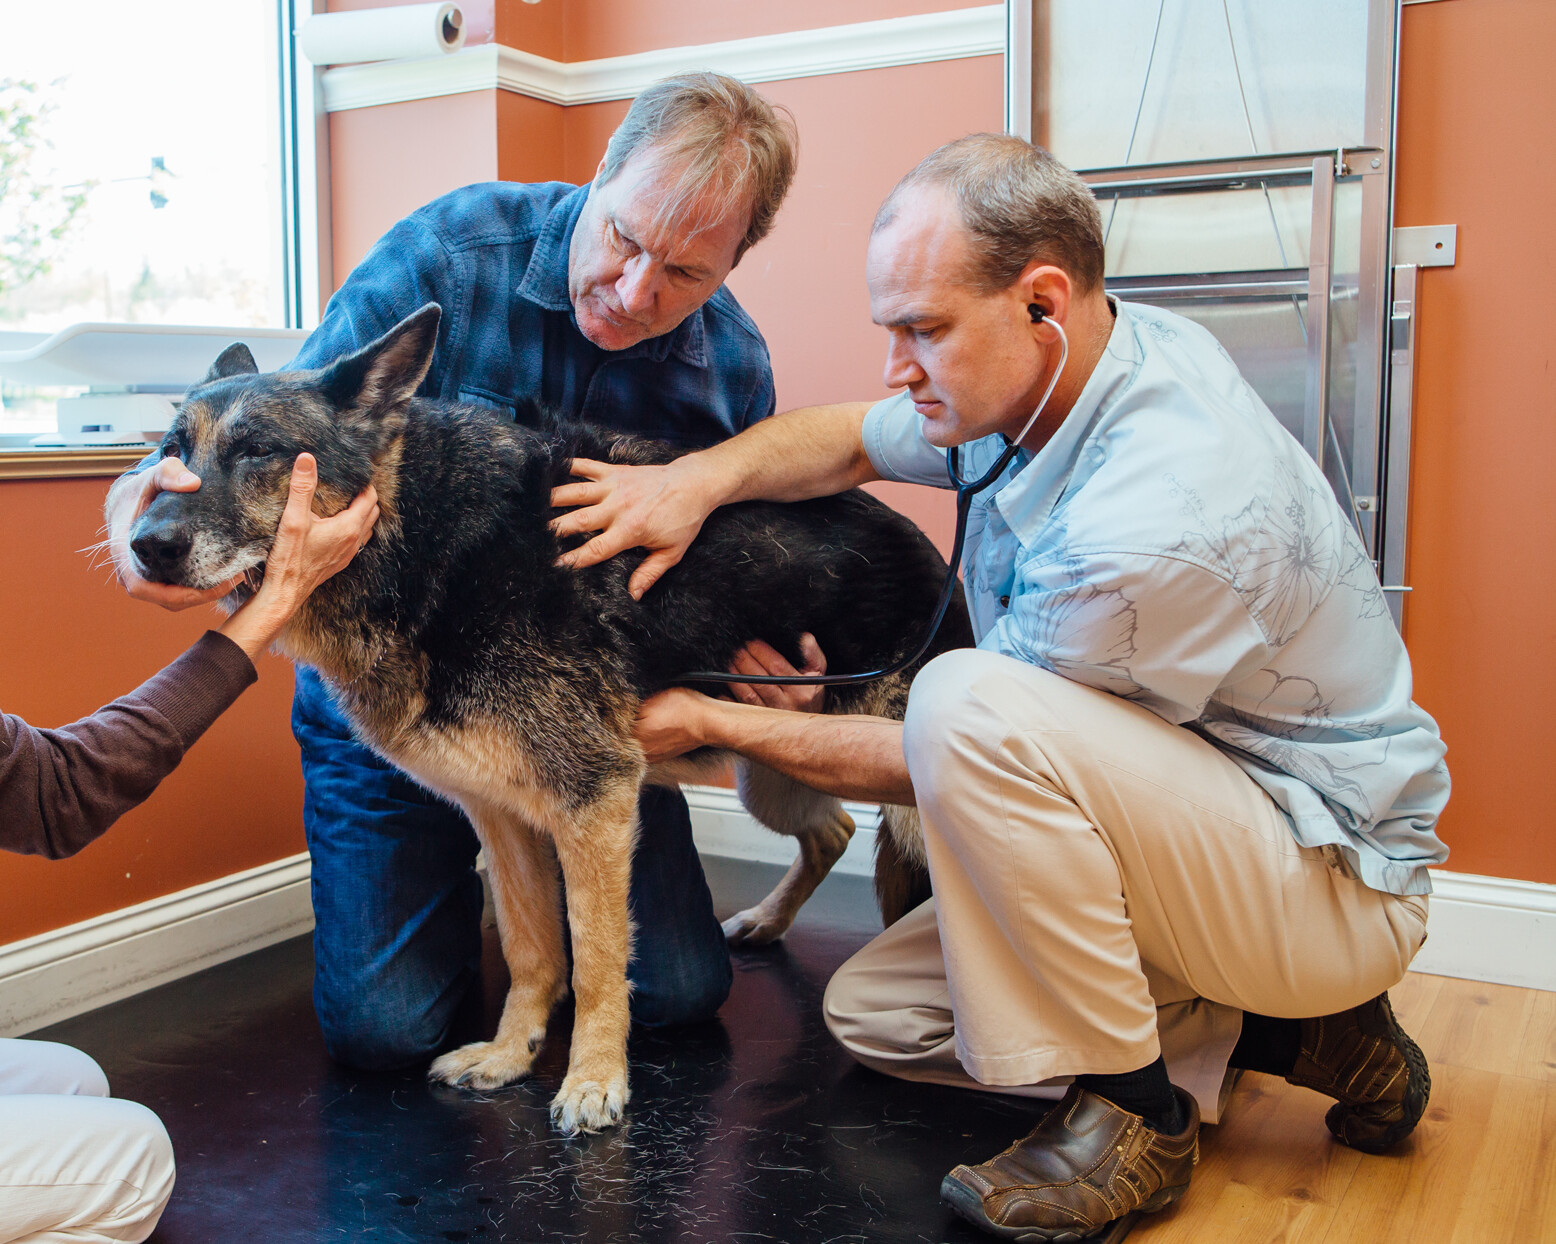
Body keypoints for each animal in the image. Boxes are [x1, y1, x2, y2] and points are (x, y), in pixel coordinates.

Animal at [127, 306, 964, 1133]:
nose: (145, 547)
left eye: (259, 451)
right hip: (777, 769)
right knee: (835, 830)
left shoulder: (593, 804)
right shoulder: (503, 816)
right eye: (170, 454)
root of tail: (931, 556)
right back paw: (768, 921)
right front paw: (512, 1053)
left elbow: (594, 960)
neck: (421, 538)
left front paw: (593, 1079)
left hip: (901, 795)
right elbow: (535, 953)